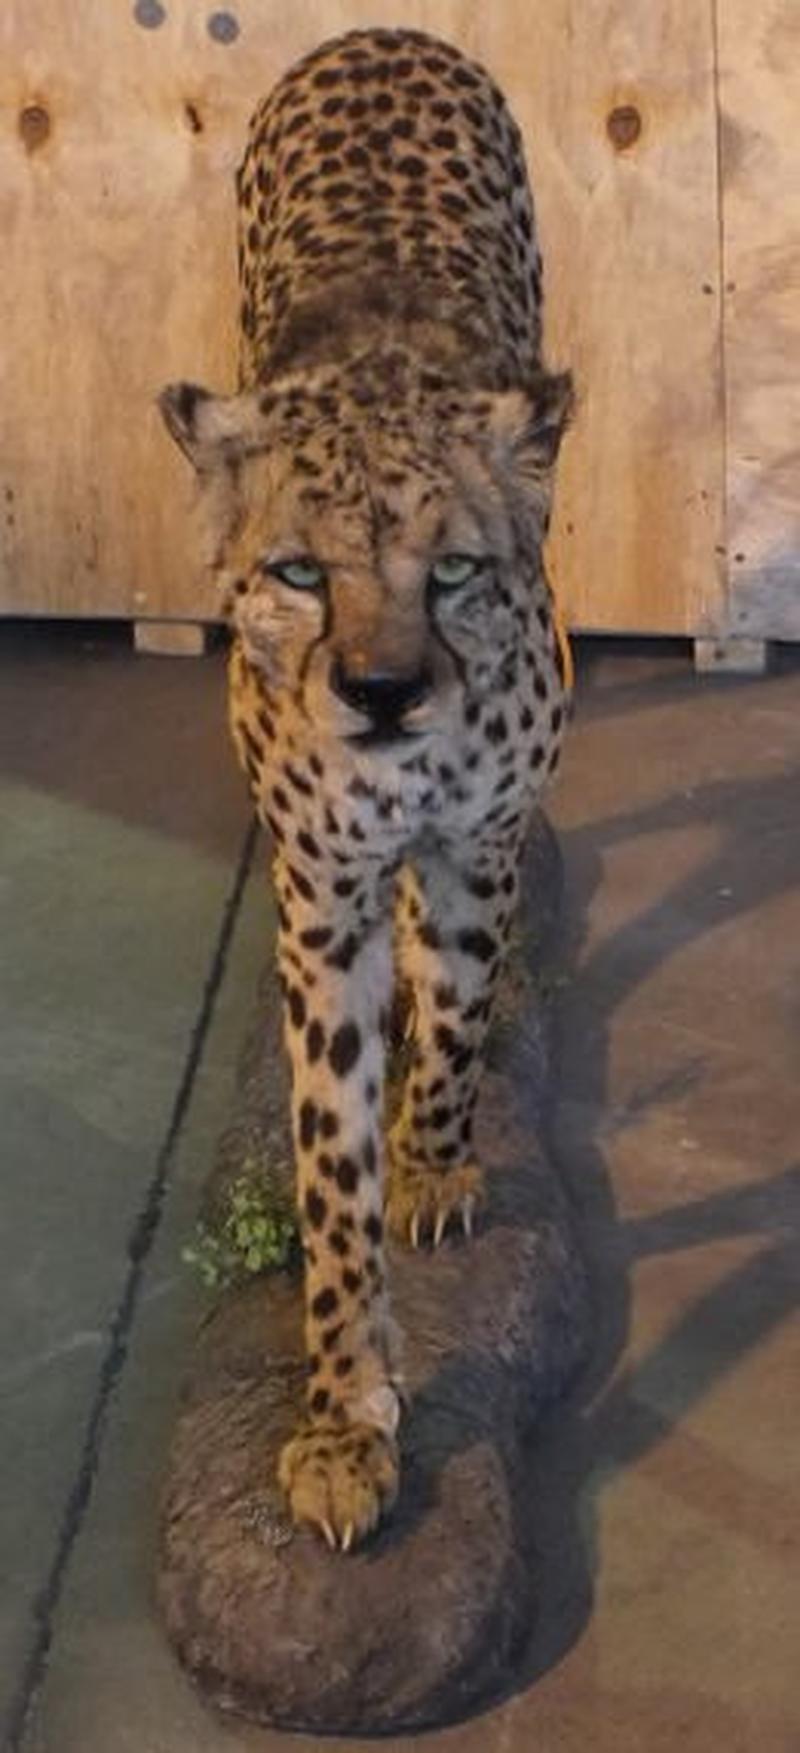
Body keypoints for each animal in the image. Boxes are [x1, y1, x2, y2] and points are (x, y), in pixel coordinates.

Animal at [159, 25, 573, 1554]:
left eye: (449, 569)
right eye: (296, 572)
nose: (383, 692)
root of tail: (378, 33)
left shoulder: (475, 843)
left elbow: (453, 1016)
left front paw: (439, 1161)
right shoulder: (318, 904)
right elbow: (329, 1169)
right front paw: (345, 1421)